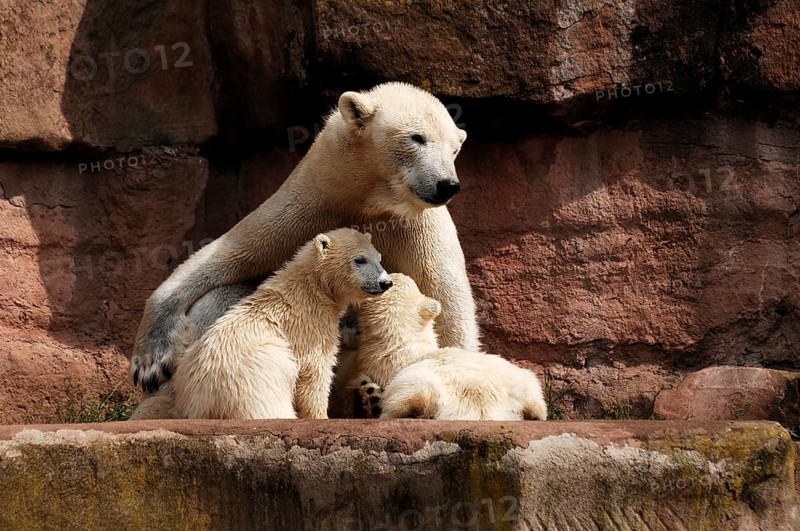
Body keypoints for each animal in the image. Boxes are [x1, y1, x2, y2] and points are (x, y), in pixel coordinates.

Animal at [130, 82, 480, 393]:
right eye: (417, 137)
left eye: (454, 148)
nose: (447, 184)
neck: (370, 199)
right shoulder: (312, 204)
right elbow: (232, 253)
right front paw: (151, 364)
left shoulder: (416, 228)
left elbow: (446, 300)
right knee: (221, 297)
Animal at [132, 228, 392, 420]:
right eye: (360, 260)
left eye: (379, 258)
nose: (385, 282)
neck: (310, 289)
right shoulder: (308, 326)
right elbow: (314, 373)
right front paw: (321, 416)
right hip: (256, 381)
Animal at [337, 273, 548, 421]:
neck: (402, 341)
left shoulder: (371, 365)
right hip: (520, 381)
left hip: (425, 386)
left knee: (415, 393)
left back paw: (375, 400)